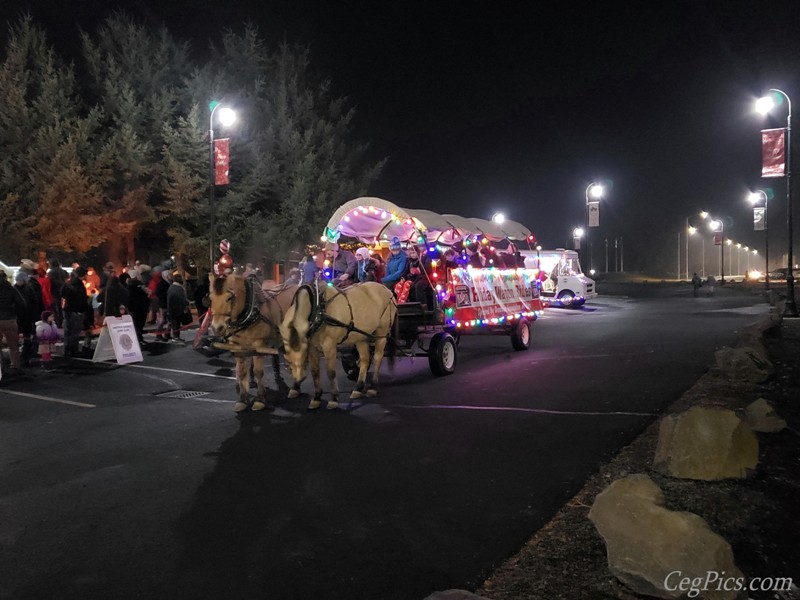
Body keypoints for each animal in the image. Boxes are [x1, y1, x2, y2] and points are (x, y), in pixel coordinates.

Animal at [208, 276, 298, 412]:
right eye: (211, 298)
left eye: (229, 298)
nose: (216, 328)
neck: (250, 314)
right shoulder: (237, 347)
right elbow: (241, 372)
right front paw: (242, 399)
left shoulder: (259, 345)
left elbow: (258, 372)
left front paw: (260, 400)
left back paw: (296, 388)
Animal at [280, 280, 398, 408]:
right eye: (287, 360)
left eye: (300, 355)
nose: (298, 378)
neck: (317, 308)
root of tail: (387, 290)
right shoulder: (312, 347)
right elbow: (315, 371)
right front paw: (316, 398)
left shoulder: (329, 345)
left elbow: (331, 372)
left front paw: (334, 398)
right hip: (361, 336)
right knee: (365, 360)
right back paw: (358, 388)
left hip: (382, 334)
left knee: (377, 359)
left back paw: (372, 387)